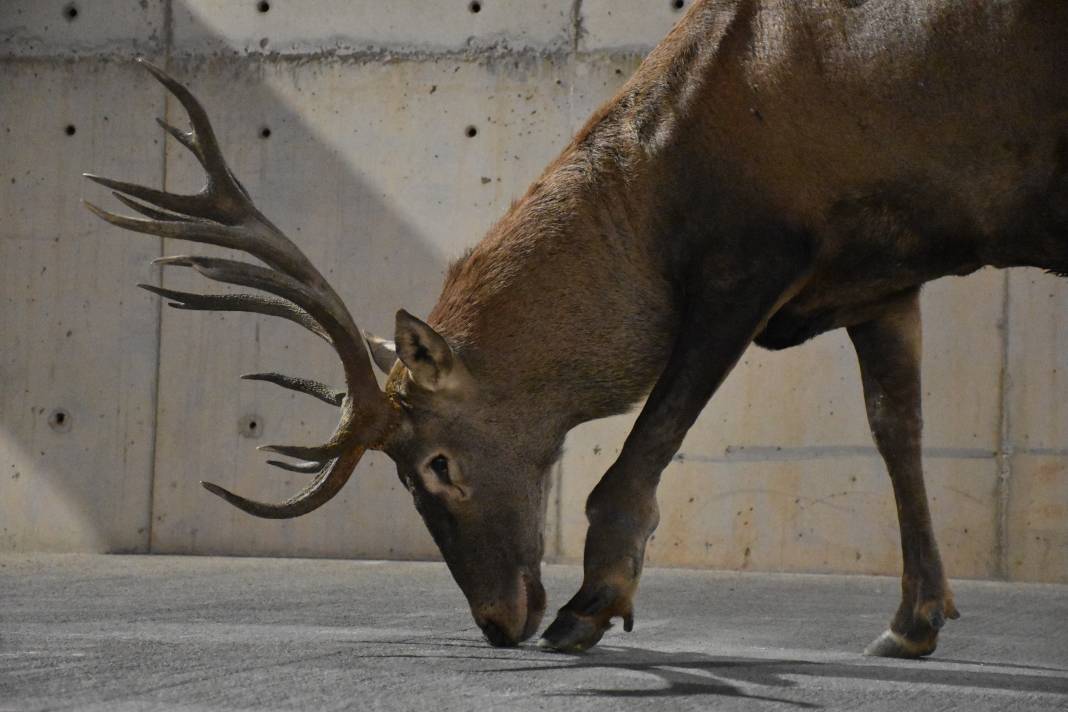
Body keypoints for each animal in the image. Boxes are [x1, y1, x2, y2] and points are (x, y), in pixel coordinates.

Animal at [85, 0, 1068, 657]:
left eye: (435, 465)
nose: (496, 621)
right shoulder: (880, 276)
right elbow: (896, 430)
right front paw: (912, 622)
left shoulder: (752, 256)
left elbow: (643, 447)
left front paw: (588, 608)